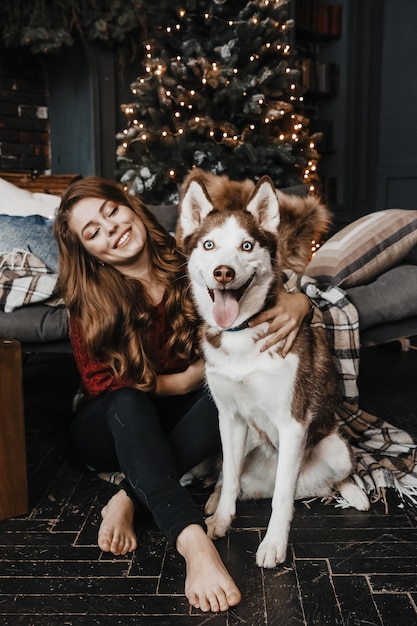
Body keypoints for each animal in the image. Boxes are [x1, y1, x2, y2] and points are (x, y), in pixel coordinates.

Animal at [178, 173, 368, 568]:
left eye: (247, 245)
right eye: (208, 244)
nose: (223, 272)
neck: (240, 335)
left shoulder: (292, 423)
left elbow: (282, 497)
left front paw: (274, 545)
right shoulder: (229, 418)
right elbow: (230, 477)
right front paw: (222, 521)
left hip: (336, 449)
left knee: (322, 481)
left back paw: (354, 493)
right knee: (228, 477)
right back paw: (214, 499)